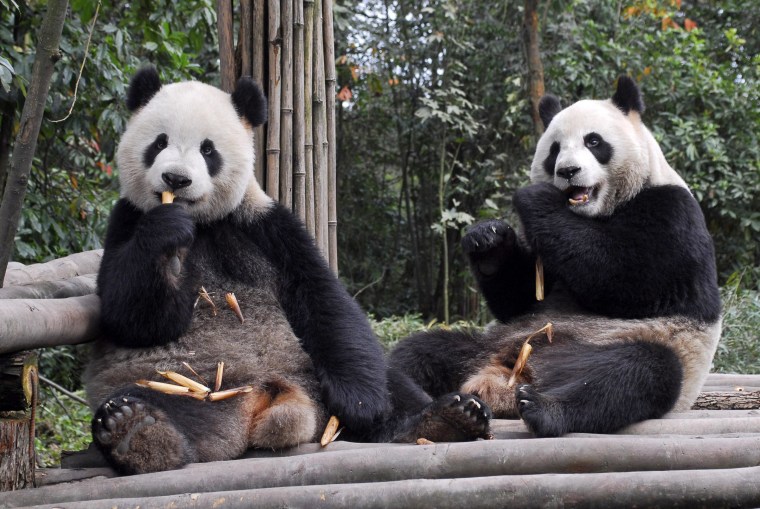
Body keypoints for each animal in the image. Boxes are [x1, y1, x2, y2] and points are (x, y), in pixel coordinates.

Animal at [83, 65, 486, 474]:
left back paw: (444, 418)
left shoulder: (265, 225)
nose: (176, 180)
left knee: (386, 377)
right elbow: (132, 318)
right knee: (147, 397)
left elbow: (321, 295)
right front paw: (169, 239)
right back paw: (138, 432)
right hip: (185, 383)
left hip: (312, 373)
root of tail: (262, 401)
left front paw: (360, 402)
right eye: (159, 143)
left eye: (208, 150)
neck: (203, 223)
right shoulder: (126, 220)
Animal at [392, 75, 724, 436]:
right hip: (485, 346)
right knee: (419, 352)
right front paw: (488, 240)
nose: (567, 171)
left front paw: (536, 198)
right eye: (554, 150)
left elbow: (629, 278)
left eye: (593, 141)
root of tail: (506, 379)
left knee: (636, 374)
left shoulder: (673, 214)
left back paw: (545, 409)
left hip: (631, 345)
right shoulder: (548, 251)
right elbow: (521, 298)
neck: (595, 212)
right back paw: (442, 415)